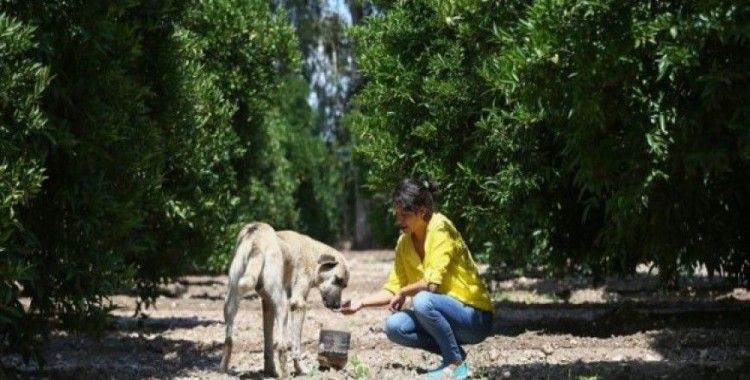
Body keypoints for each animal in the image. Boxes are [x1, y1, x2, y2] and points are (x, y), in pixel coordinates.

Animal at [219, 223, 352, 378]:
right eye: (338, 280)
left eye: (344, 285)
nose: (337, 305)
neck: (312, 255)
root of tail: (257, 235)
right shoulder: (298, 304)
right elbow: (296, 346)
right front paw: (300, 369)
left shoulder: (267, 305)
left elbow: (268, 344)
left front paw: (270, 370)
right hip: (283, 305)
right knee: (282, 345)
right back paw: (286, 374)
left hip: (230, 301)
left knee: (229, 340)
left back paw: (222, 370)